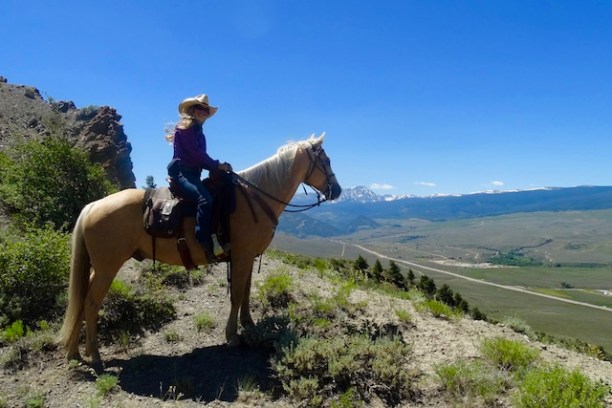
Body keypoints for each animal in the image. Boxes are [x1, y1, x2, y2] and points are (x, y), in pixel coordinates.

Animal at [58, 134, 340, 364]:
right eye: (325, 160)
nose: (336, 190)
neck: (256, 198)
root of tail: (92, 206)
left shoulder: (247, 257)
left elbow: (246, 293)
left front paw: (248, 325)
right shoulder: (242, 256)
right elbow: (237, 295)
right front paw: (232, 336)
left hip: (98, 267)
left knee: (81, 298)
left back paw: (74, 352)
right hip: (108, 267)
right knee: (91, 302)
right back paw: (94, 355)